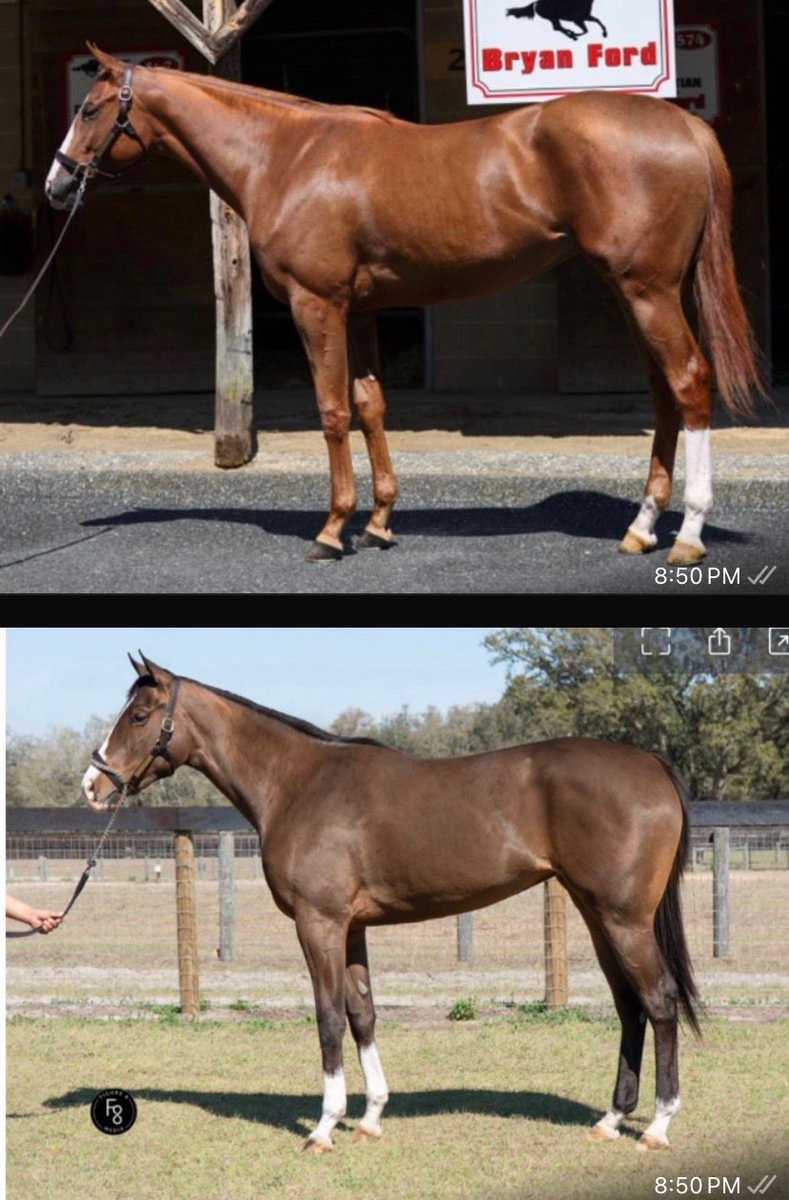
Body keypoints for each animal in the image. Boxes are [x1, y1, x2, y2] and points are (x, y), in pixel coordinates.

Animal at [46, 45, 763, 565]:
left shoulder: (317, 306)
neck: (285, 155)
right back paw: (640, 529)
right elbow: (370, 407)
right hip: (635, 294)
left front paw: (332, 530)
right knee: (663, 393)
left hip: (647, 292)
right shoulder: (361, 311)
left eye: (90, 109)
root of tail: (682, 122)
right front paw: (380, 523)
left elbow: (333, 413)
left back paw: (688, 537)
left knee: (689, 383)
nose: (57, 184)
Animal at [81, 653, 700, 1153]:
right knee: (629, 1006)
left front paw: (324, 1127)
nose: (93, 784)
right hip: (597, 916)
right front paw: (370, 1117)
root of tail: (651, 764)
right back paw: (611, 1119)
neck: (298, 783)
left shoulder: (319, 924)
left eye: (139, 717)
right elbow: (363, 1014)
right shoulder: (352, 928)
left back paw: (657, 1126)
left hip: (624, 920)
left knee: (660, 1000)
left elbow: (329, 1017)